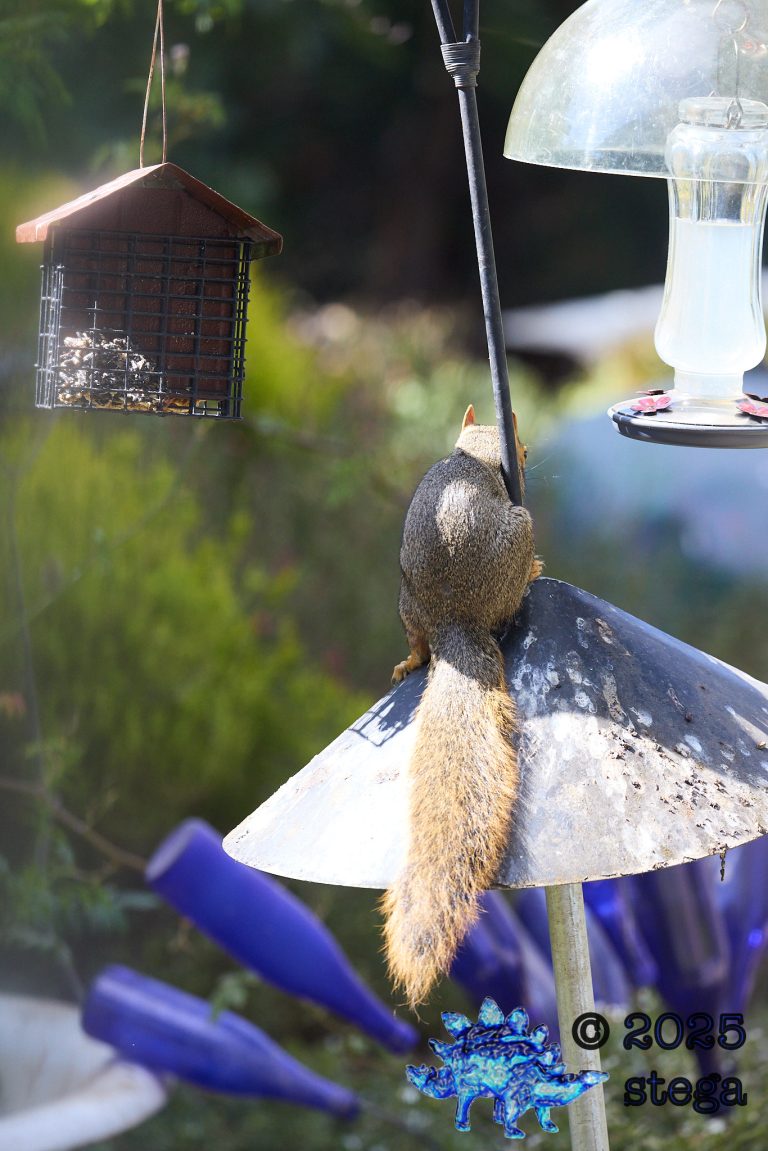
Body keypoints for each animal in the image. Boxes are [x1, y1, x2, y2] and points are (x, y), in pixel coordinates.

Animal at [381, 404, 541, 1009]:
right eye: (522, 449)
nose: (525, 458)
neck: (471, 453)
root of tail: (456, 623)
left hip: (406, 605)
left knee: (416, 644)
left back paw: (409, 660)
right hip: (519, 533)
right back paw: (533, 573)